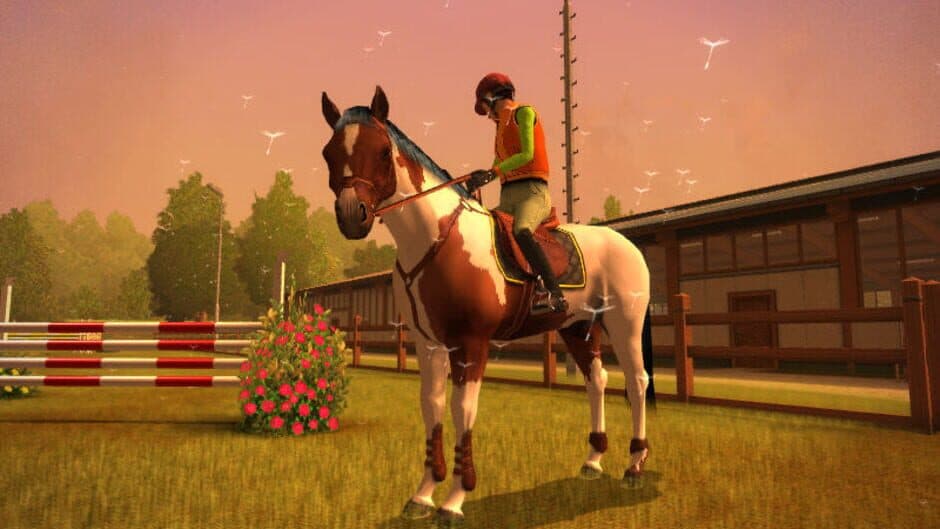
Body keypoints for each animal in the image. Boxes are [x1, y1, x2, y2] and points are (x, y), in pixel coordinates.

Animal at [319, 86, 653, 524]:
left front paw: (455, 499)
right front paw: (423, 495)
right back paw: (592, 462)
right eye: (329, 152)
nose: (350, 216)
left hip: (624, 322)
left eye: (380, 151)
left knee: (636, 381)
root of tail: (626, 243)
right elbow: (432, 406)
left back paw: (634, 466)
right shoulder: (428, 345)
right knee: (596, 380)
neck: (435, 239)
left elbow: (462, 410)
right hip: (577, 327)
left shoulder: (471, 344)